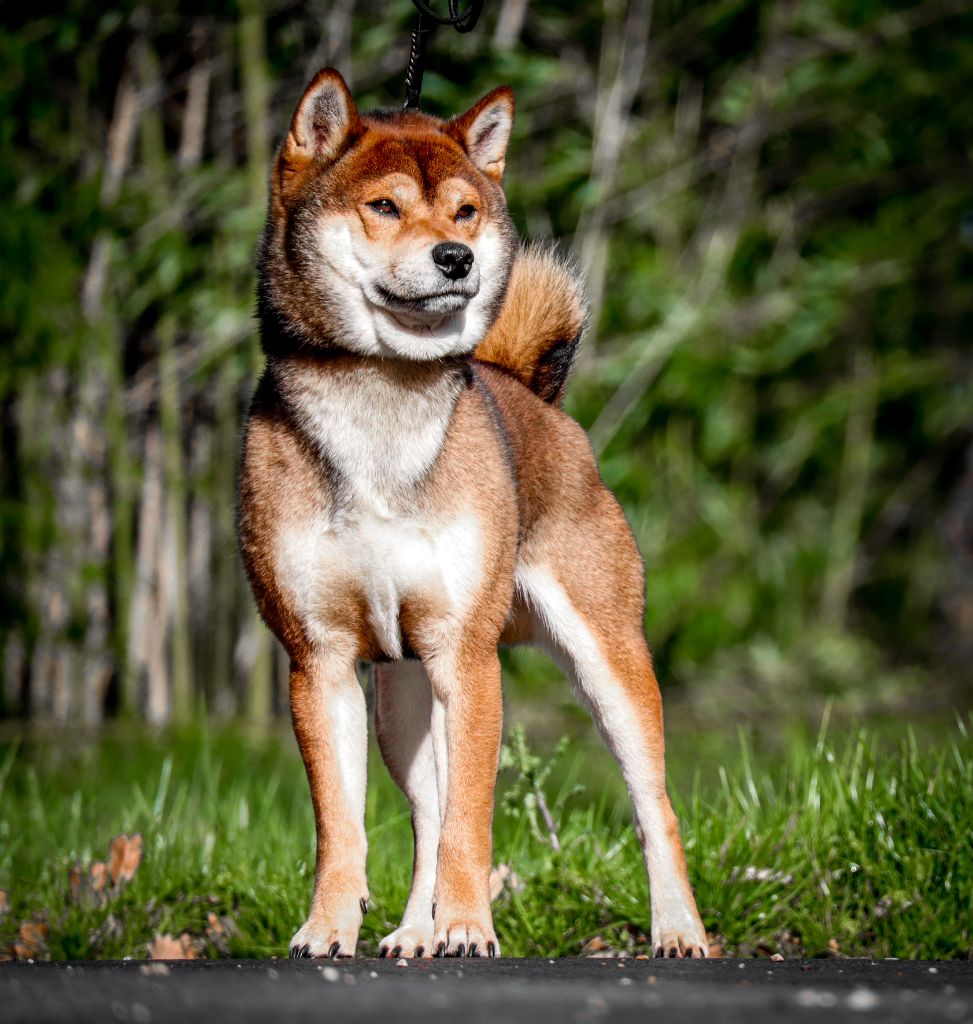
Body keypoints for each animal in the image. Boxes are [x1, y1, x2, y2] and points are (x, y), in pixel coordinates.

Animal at [236, 68, 708, 954]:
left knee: (652, 807)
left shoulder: (468, 657)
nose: (455, 258)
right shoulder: (319, 664)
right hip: (399, 697)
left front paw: (467, 926)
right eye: (384, 206)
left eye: (464, 212)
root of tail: (529, 394)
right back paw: (412, 932)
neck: (382, 402)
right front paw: (330, 927)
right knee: (423, 817)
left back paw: (678, 931)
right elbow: (343, 825)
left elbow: (470, 821)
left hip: (608, 664)